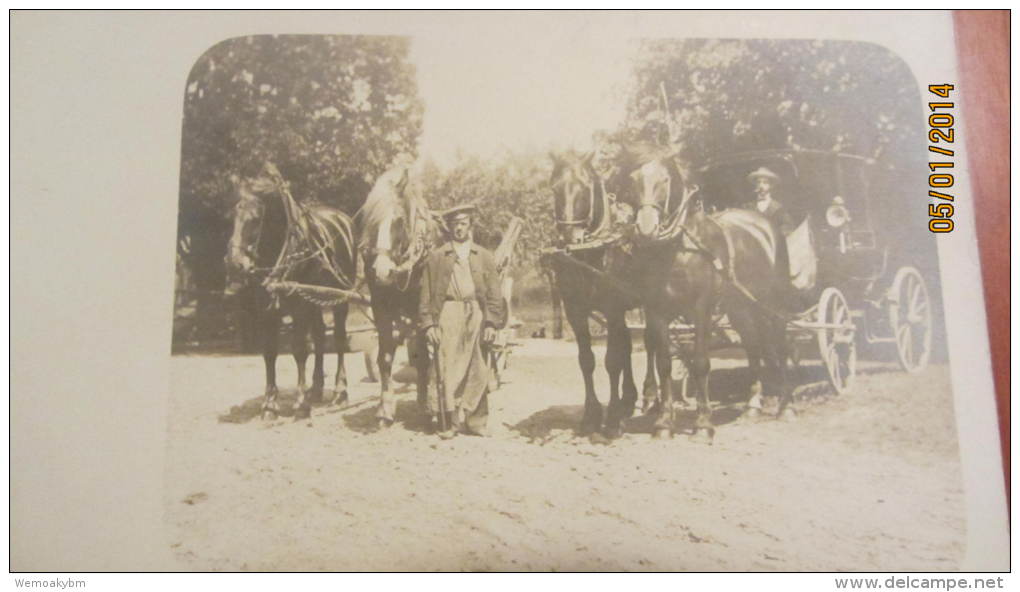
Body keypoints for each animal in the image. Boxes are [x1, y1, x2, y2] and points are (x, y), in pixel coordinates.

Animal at [224, 165, 359, 420]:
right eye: (230, 217)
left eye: (255, 220)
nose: (235, 264)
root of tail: (342, 218)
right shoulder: (266, 309)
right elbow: (269, 353)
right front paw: (269, 405)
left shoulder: (299, 307)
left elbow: (299, 350)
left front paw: (300, 403)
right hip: (315, 299)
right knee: (319, 335)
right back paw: (316, 388)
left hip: (339, 298)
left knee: (338, 339)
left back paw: (339, 392)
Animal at [632, 153, 791, 438]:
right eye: (634, 179)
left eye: (665, 179)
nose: (646, 228)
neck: (680, 247)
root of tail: (765, 224)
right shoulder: (657, 311)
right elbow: (664, 364)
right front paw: (664, 423)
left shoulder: (701, 309)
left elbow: (700, 362)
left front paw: (703, 424)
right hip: (741, 308)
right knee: (753, 345)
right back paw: (752, 406)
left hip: (774, 304)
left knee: (781, 345)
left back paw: (786, 406)